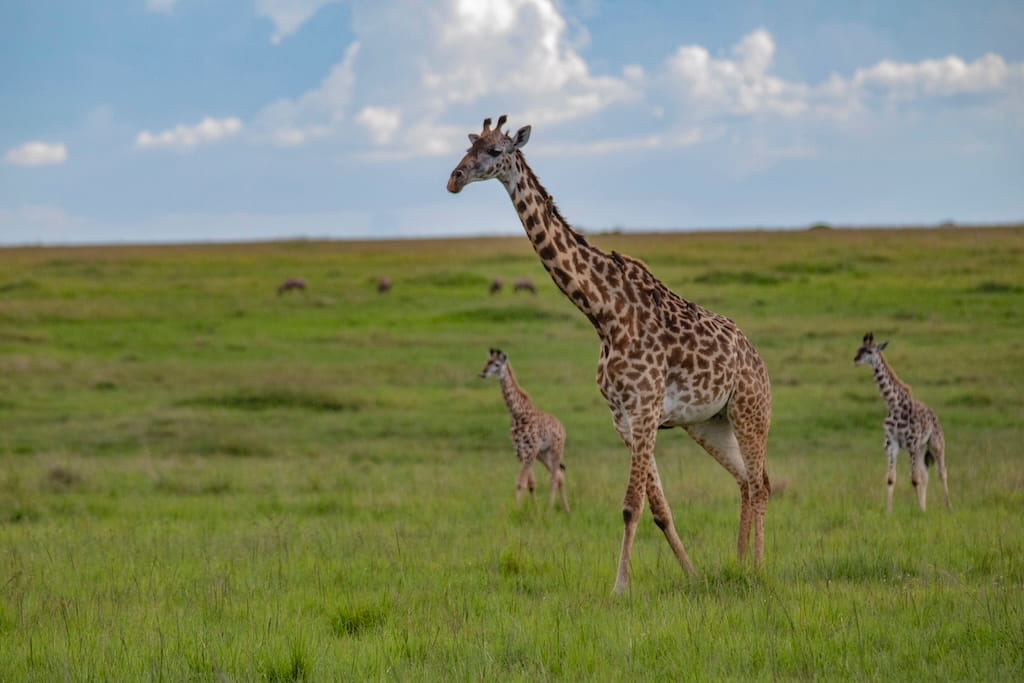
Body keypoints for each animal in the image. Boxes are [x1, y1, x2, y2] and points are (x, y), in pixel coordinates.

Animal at [480, 348, 569, 513]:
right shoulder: (520, 451)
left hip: (556, 450)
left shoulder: (530, 450)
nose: (483, 373)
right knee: (559, 475)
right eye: (487, 362)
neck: (517, 413)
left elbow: (521, 483)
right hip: (543, 454)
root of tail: (562, 427)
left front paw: (517, 510)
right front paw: (534, 511)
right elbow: (530, 484)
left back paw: (550, 510)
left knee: (554, 477)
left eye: (497, 364)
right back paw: (567, 511)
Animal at [854, 332, 950, 513]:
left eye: (869, 351)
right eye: (858, 349)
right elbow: (891, 478)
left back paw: (949, 508)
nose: (855, 359)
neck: (894, 404)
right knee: (925, 474)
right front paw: (889, 512)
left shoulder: (911, 443)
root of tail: (934, 415)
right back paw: (925, 508)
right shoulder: (892, 444)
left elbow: (914, 479)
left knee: (942, 472)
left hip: (936, 443)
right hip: (921, 447)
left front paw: (918, 510)